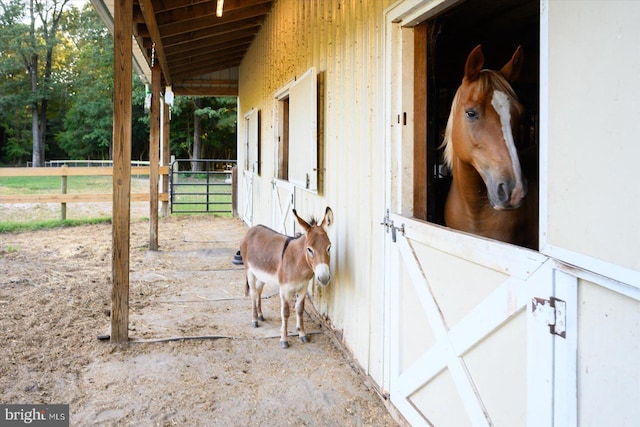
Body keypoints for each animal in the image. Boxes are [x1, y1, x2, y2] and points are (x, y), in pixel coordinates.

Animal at [238, 206, 332, 350]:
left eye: (329, 248)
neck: (298, 262)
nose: (324, 278)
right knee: (253, 293)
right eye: (309, 249)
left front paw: (302, 334)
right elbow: (286, 312)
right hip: (249, 271)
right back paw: (254, 320)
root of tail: (252, 229)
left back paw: (260, 315)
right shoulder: (284, 289)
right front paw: (284, 339)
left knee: (259, 290)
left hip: (262, 274)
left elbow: (299, 309)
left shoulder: (303, 287)